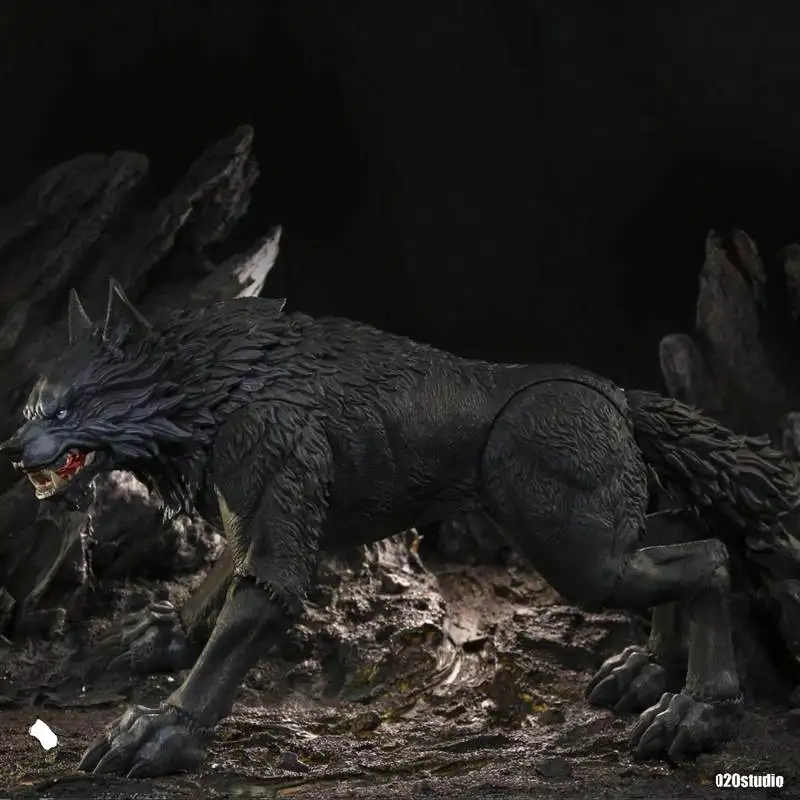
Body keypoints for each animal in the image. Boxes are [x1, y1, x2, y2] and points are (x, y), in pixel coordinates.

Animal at [1, 279, 798, 778]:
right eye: (32, 408)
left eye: (66, 409)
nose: (12, 449)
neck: (215, 387)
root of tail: (619, 395)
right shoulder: (249, 508)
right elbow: (217, 580)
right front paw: (155, 634)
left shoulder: (271, 475)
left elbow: (242, 621)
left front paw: (158, 733)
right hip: (597, 536)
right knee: (685, 533)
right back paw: (647, 670)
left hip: (576, 553)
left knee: (710, 556)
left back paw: (696, 712)